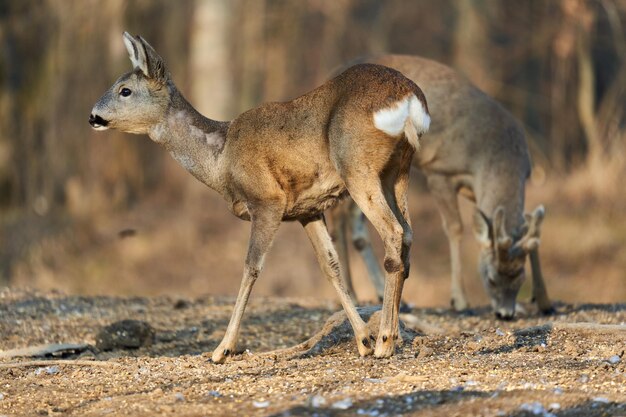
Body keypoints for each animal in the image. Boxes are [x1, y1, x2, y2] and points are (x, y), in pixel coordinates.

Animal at [89, 33, 428, 360]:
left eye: (124, 90)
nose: (93, 116)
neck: (221, 158)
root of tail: (411, 101)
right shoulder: (308, 209)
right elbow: (329, 266)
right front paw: (362, 340)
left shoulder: (267, 200)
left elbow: (251, 266)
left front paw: (222, 349)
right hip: (398, 171)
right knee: (408, 234)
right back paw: (387, 336)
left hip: (358, 167)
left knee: (394, 232)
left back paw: (386, 341)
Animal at [330, 55, 548, 320]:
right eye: (491, 279)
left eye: (520, 279)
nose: (505, 314)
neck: (494, 156)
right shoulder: (440, 172)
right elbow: (455, 228)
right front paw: (460, 300)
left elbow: (531, 232)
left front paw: (545, 301)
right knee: (338, 217)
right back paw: (352, 290)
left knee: (358, 226)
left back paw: (382, 292)